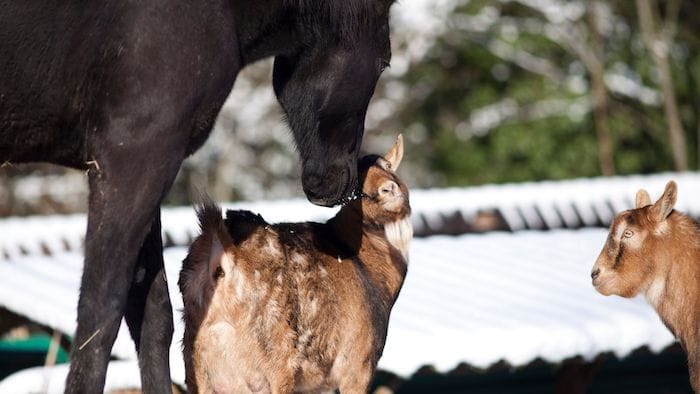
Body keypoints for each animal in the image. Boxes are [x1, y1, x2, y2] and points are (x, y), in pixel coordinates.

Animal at [178, 135, 412, 390]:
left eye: (388, 166)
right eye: (356, 184)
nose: (389, 188)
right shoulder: (356, 364)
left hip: (197, 365)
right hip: (274, 361)